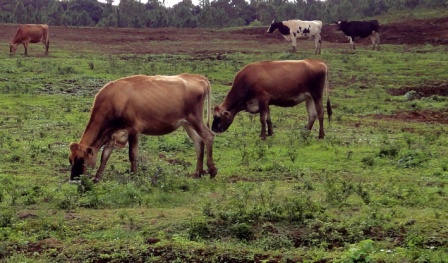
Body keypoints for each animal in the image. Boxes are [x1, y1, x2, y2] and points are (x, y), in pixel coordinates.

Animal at [68, 73, 217, 183]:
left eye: (82, 160)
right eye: (70, 160)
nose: (74, 180)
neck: (114, 100)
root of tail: (198, 77)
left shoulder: (134, 129)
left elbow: (132, 154)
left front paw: (134, 176)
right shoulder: (112, 134)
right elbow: (105, 155)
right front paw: (97, 178)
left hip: (195, 118)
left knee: (208, 136)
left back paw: (212, 171)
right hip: (186, 123)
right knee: (198, 141)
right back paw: (197, 173)